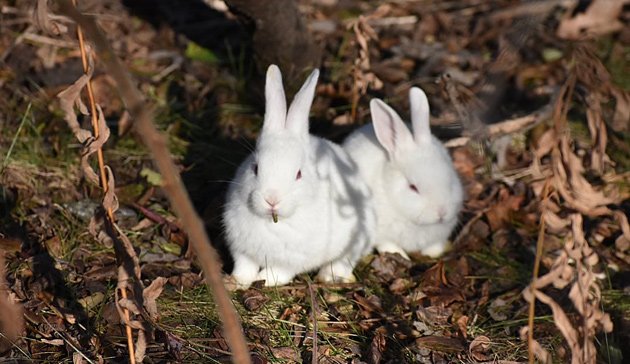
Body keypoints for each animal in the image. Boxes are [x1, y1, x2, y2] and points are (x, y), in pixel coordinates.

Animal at [225, 64, 378, 288]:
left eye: (298, 174)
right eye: (255, 168)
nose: (272, 199)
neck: (273, 222)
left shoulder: (293, 261)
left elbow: (278, 272)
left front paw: (263, 280)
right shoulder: (242, 250)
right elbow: (244, 267)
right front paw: (237, 282)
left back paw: (329, 276)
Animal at [344, 88, 466, 258]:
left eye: (451, 181)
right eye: (413, 187)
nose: (441, 212)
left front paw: (433, 253)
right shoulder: (381, 235)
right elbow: (388, 245)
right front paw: (400, 255)